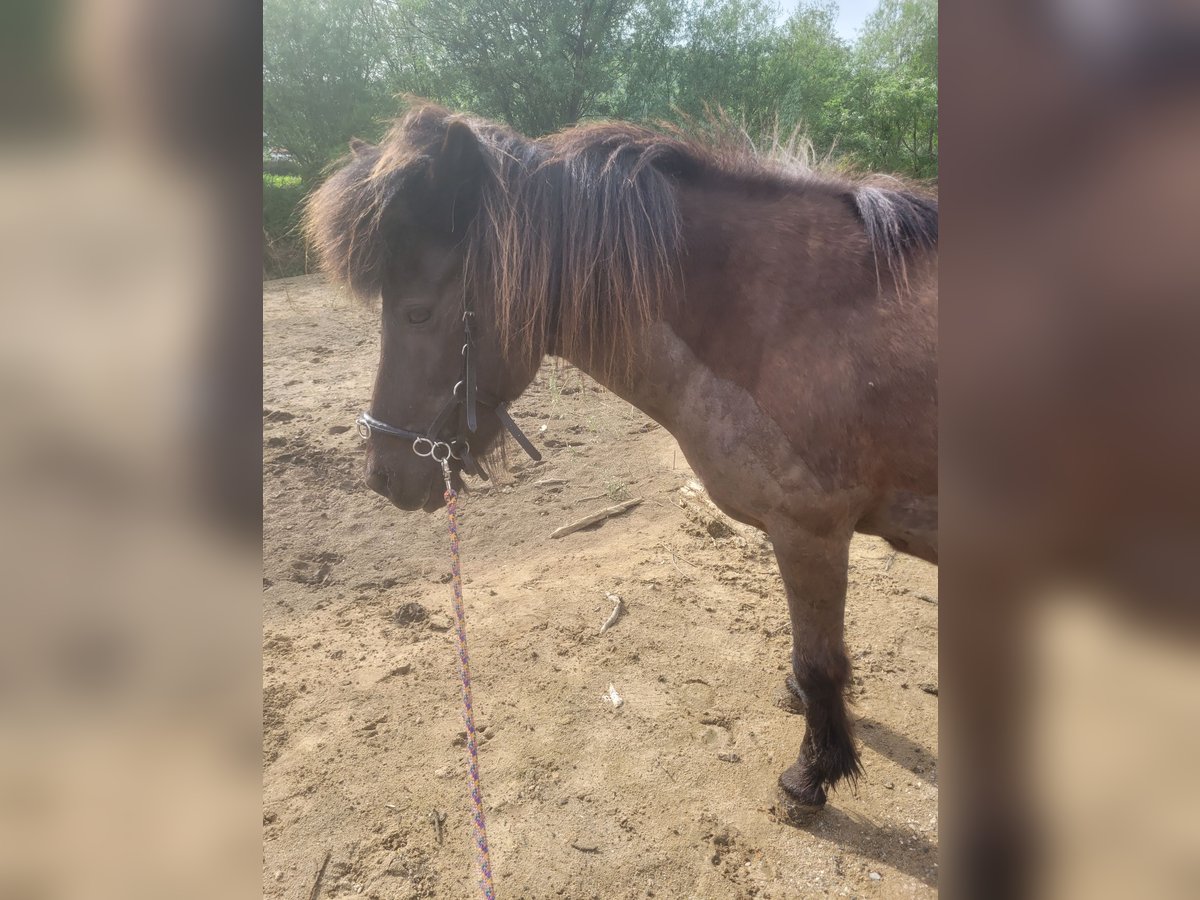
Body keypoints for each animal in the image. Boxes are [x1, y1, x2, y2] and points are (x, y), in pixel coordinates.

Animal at [302, 103, 936, 811]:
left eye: (417, 313)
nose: (381, 474)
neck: (784, 320)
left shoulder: (812, 531)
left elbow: (819, 661)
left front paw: (813, 772)